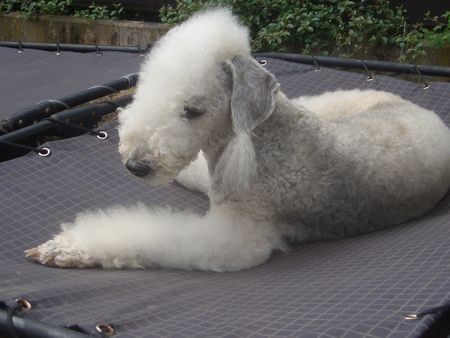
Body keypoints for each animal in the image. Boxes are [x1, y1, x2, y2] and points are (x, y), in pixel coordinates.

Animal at [26, 8, 450, 272]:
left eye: (193, 110)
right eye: (145, 89)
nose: (136, 165)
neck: (263, 140)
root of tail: (427, 113)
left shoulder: (236, 238)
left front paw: (65, 247)